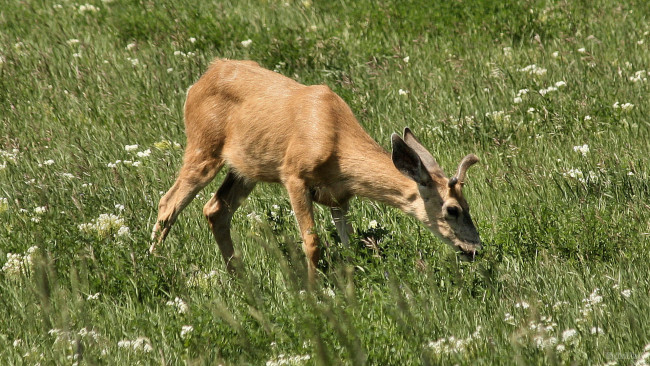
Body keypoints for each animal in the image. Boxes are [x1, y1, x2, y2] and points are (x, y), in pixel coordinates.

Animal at [149, 59, 478, 280]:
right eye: (451, 209)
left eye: (467, 205)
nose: (475, 248)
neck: (338, 145)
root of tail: (200, 80)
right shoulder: (293, 175)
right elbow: (312, 242)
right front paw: (313, 290)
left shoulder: (340, 198)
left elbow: (349, 243)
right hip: (203, 148)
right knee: (168, 203)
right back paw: (154, 263)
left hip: (245, 169)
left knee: (215, 209)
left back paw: (239, 278)